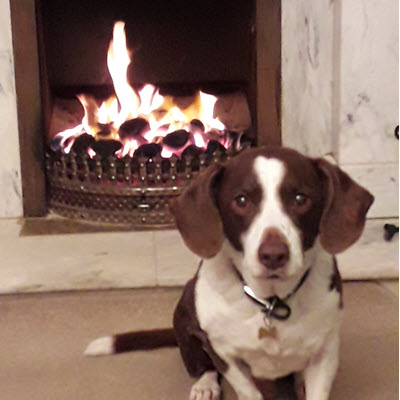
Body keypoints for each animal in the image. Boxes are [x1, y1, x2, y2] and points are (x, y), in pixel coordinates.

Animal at [85, 147, 376, 400]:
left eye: (300, 199)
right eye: (242, 200)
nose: (273, 255)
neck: (270, 299)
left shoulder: (325, 353)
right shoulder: (224, 353)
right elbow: (246, 389)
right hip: (184, 317)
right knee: (201, 365)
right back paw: (204, 385)